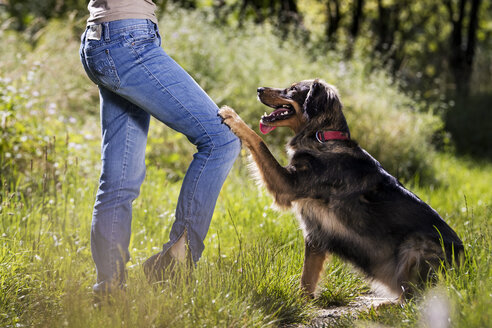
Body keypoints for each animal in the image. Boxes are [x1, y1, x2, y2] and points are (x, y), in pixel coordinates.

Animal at [218, 79, 462, 300]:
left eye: (293, 89)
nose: (259, 89)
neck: (322, 138)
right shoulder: (316, 235)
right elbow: (307, 278)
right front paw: (302, 304)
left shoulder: (287, 185)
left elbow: (259, 142)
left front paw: (233, 117)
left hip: (414, 248)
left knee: (418, 300)